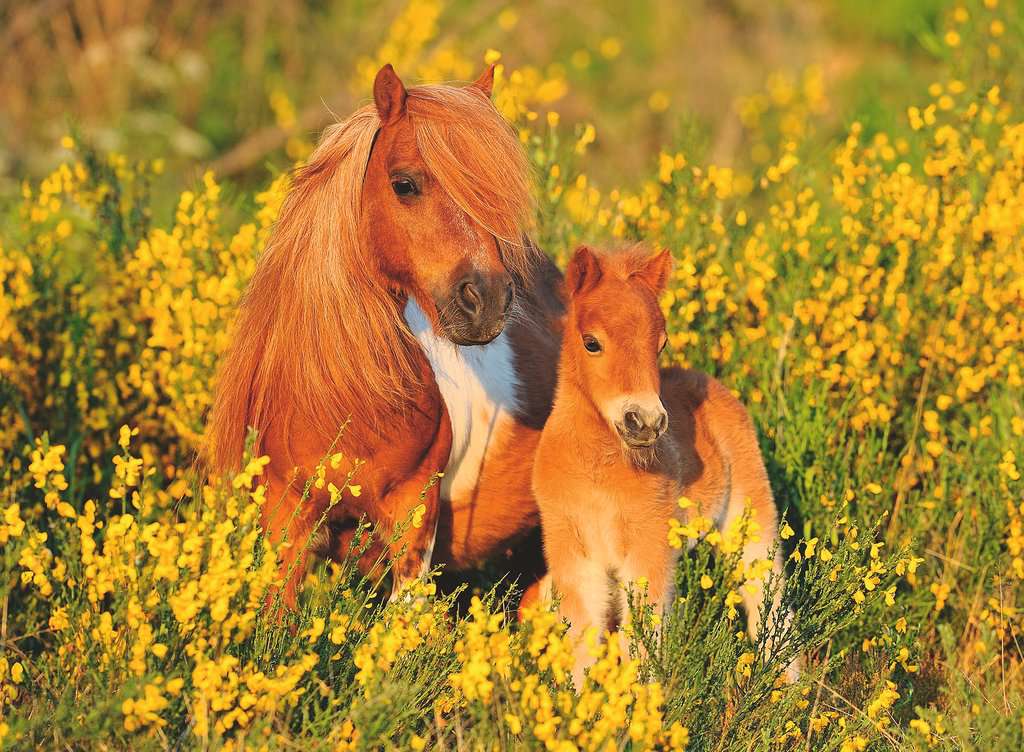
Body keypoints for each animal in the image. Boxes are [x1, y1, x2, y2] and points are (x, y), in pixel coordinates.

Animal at [528, 245, 797, 683]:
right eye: (591, 343)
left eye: (661, 344)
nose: (646, 422)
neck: (597, 472)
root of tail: (710, 381)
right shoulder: (573, 553)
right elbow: (582, 642)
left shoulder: (647, 549)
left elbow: (641, 645)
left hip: (750, 515)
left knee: (768, 600)